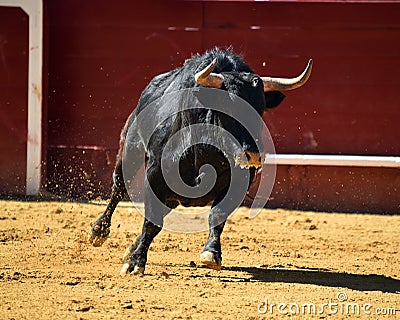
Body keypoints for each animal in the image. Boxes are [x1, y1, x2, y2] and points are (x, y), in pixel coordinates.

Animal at [88, 48, 312, 276]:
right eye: (226, 106)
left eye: (261, 109)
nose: (254, 155)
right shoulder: (155, 174)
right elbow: (152, 221)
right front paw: (136, 262)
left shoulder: (239, 182)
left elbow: (217, 215)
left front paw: (211, 253)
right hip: (130, 147)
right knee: (119, 187)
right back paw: (99, 231)